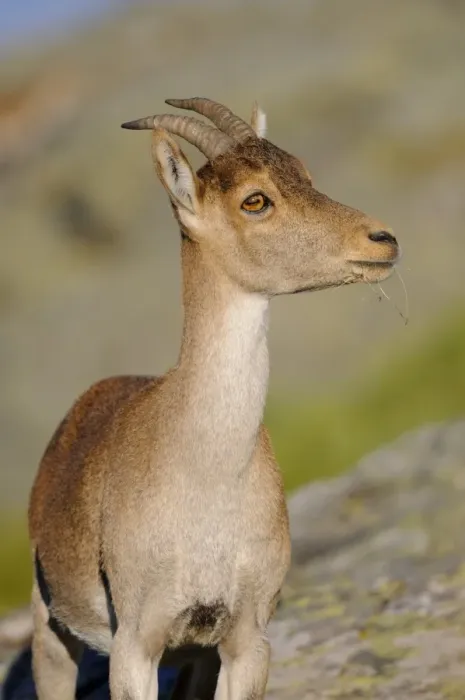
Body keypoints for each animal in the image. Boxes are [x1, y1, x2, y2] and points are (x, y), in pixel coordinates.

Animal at [28, 97, 400, 700]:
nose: (382, 239)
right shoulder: (136, 644)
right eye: (255, 199)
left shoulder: (244, 637)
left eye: (305, 174)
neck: (207, 473)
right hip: (50, 631)